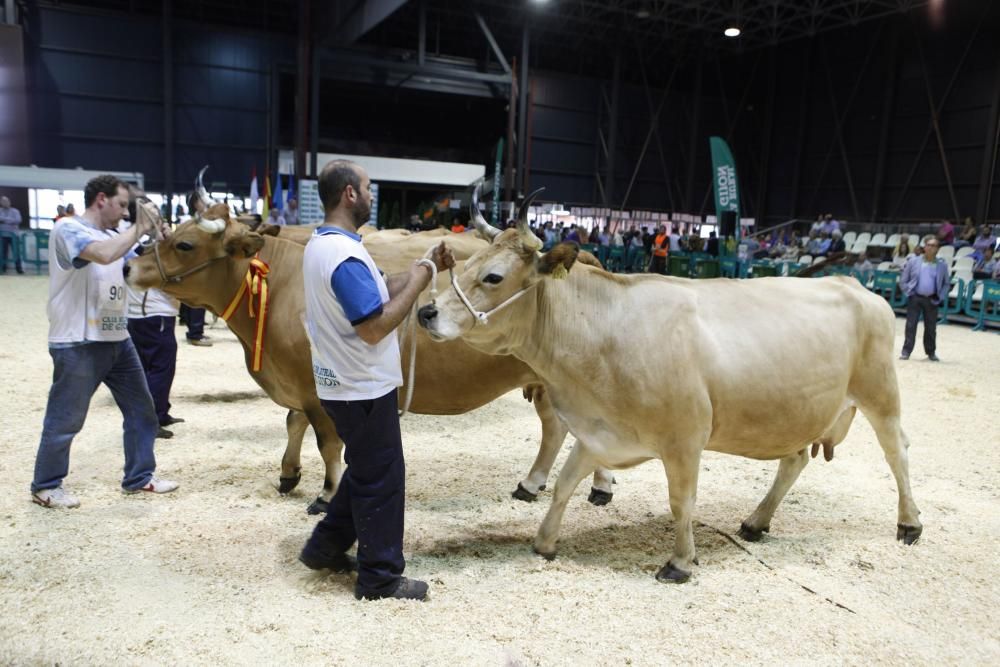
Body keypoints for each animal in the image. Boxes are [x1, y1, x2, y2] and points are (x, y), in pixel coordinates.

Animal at [127, 206, 616, 516]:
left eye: (185, 244)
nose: (129, 268)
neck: (282, 285)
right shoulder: (301, 385)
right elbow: (292, 423)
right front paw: (288, 473)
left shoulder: (320, 390)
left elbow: (328, 445)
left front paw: (327, 494)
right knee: (561, 430)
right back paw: (548, 484)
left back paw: (587, 486)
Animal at [414, 192, 920, 584]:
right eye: (466, 262)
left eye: (494, 277)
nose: (425, 312)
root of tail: (856, 284)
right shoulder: (598, 431)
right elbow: (563, 484)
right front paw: (544, 541)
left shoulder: (685, 438)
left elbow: (681, 501)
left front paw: (679, 562)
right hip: (795, 411)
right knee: (794, 460)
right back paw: (756, 522)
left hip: (881, 394)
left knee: (898, 454)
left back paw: (910, 524)